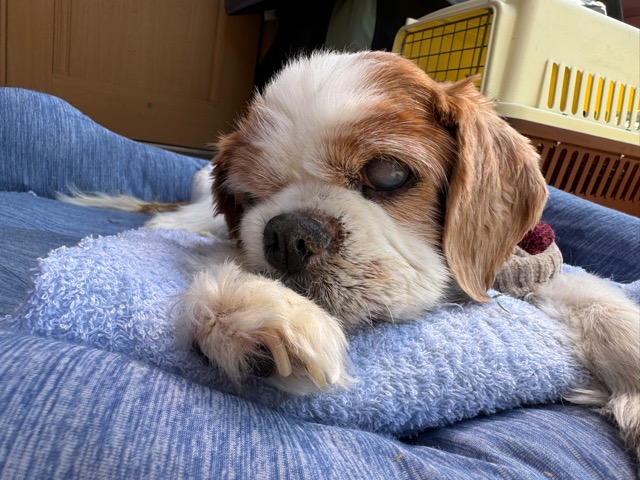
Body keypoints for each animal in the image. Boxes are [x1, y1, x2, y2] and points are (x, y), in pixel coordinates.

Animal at [63, 51, 639, 456]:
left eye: (388, 173)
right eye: (249, 195)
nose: (287, 235)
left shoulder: (522, 271)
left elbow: (597, 297)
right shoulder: (224, 237)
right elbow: (218, 271)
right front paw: (259, 309)